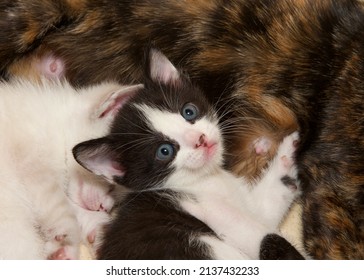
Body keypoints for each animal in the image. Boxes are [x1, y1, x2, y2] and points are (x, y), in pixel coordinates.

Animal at [72, 50, 302, 260]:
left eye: (188, 112)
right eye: (164, 151)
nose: (200, 139)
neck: (203, 180)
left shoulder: (253, 209)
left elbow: (268, 207)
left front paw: (290, 149)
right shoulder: (207, 210)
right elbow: (271, 241)